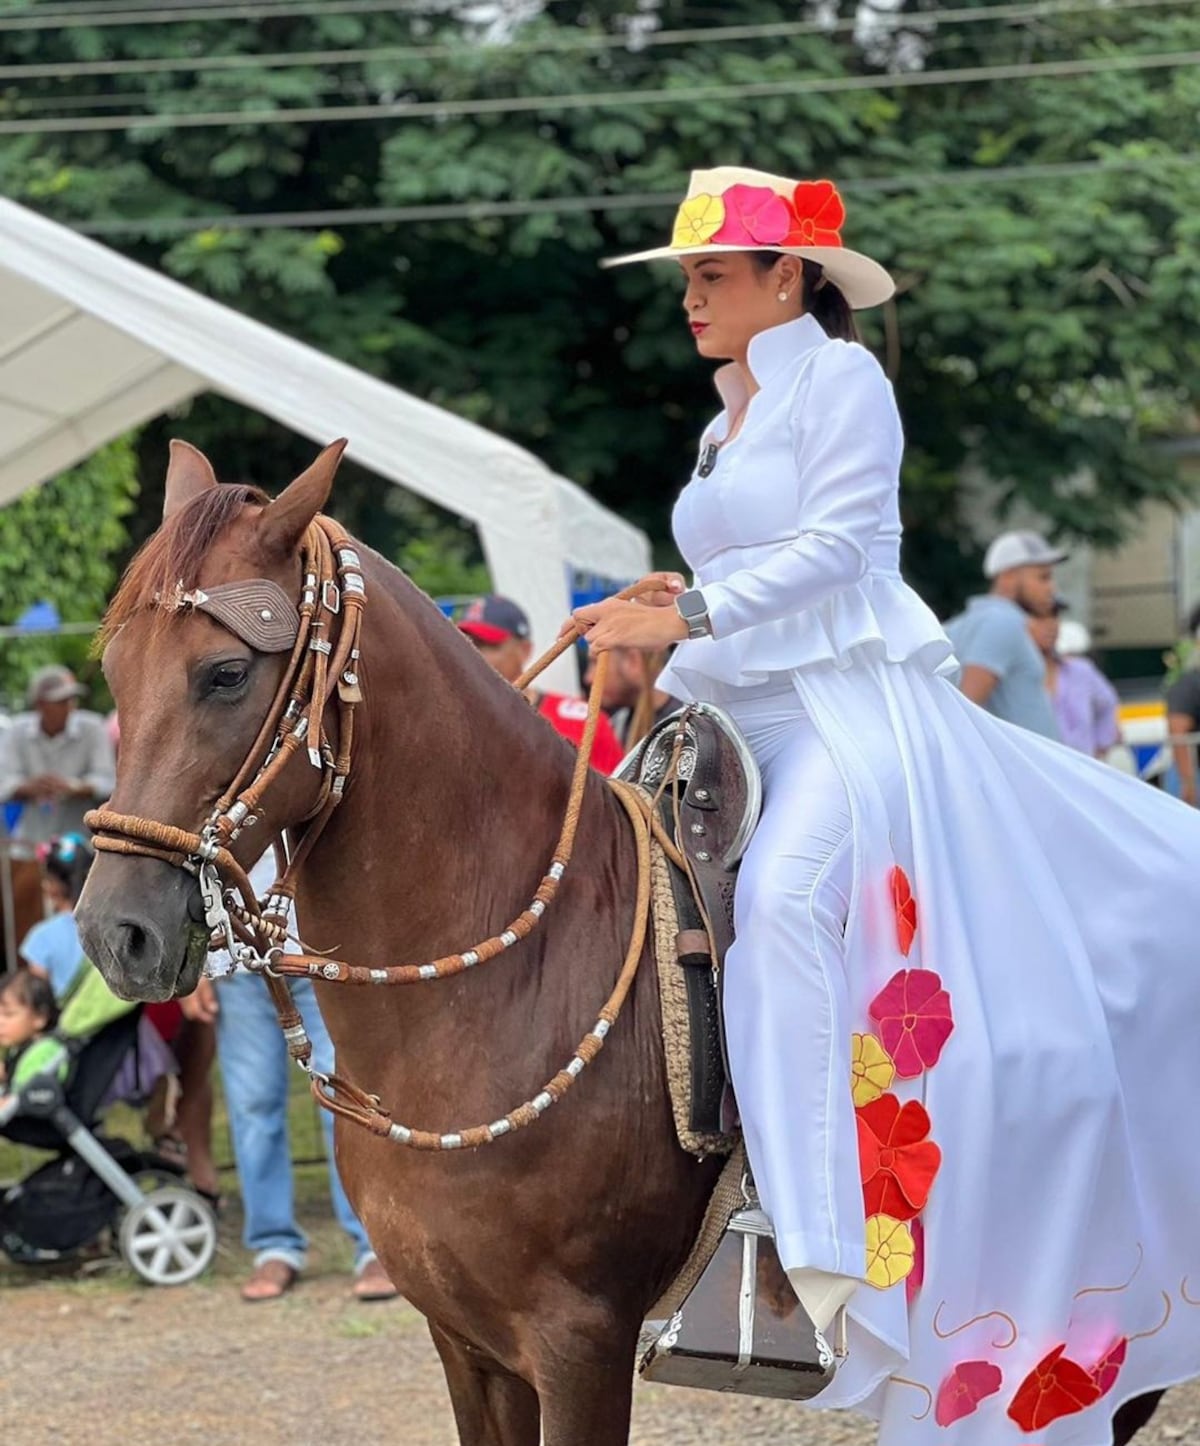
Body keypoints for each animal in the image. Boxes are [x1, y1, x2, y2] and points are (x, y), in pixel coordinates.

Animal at [75, 445, 1168, 1440]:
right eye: (114, 673)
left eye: (225, 674)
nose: (113, 930)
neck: (499, 989)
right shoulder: (468, 1346)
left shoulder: (578, 1344)